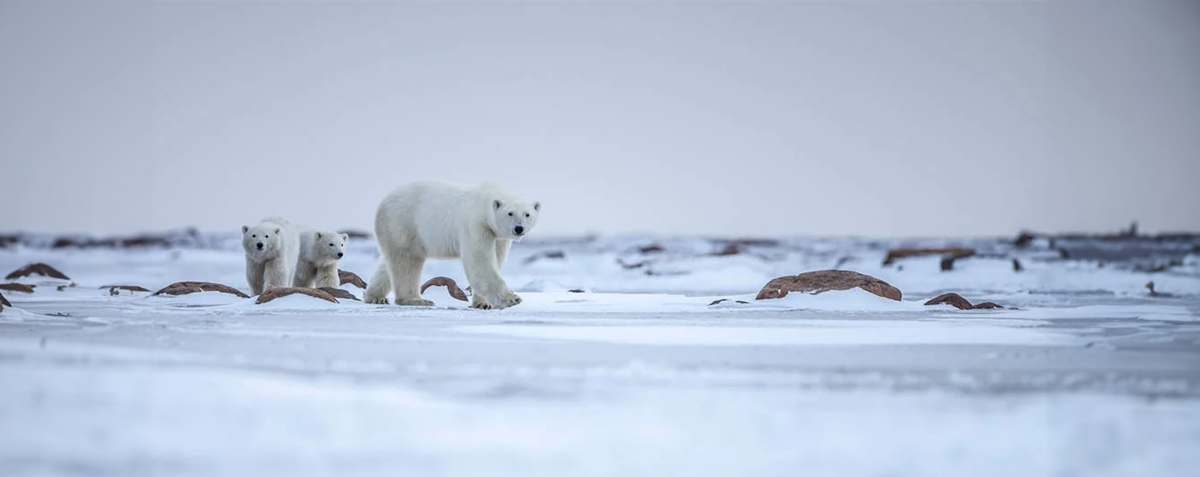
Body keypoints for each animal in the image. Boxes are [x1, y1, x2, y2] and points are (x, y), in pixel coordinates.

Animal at [360, 182, 540, 309]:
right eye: (510, 213)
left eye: (527, 214)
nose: (518, 228)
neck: (483, 203)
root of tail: (384, 200)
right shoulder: (476, 226)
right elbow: (480, 261)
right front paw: (512, 299)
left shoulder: (498, 236)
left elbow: (496, 259)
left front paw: (483, 303)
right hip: (403, 223)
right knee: (407, 262)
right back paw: (416, 300)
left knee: (390, 262)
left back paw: (375, 296)